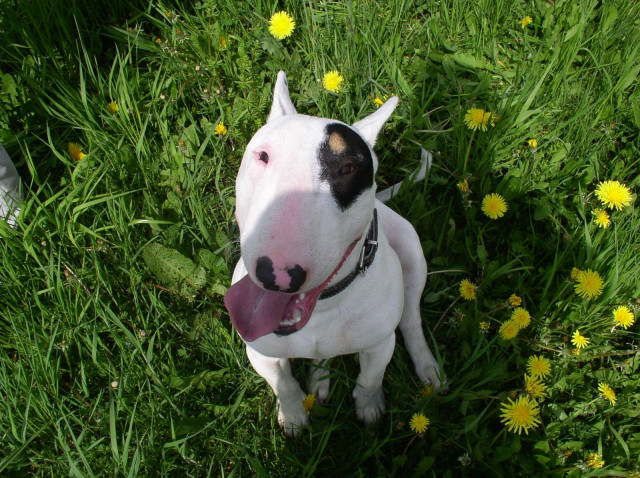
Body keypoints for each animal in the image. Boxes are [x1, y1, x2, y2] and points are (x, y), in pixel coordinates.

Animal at [226, 72, 444, 436]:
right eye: (263, 156)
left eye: (348, 169)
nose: (277, 275)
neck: (324, 306)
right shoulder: (259, 352)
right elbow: (283, 384)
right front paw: (294, 415)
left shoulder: (379, 345)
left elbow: (370, 378)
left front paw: (369, 407)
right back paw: (319, 379)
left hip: (412, 251)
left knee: (411, 318)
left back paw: (427, 367)